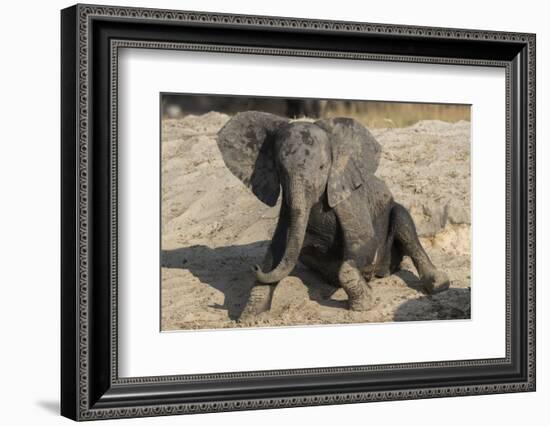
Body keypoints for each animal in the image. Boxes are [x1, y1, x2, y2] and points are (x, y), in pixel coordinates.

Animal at [217, 110, 452, 320]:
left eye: (323, 167)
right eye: (281, 170)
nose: (253, 266)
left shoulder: (348, 199)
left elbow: (363, 243)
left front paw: (364, 305)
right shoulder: (286, 209)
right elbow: (276, 253)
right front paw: (250, 318)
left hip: (395, 217)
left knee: (404, 223)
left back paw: (438, 284)